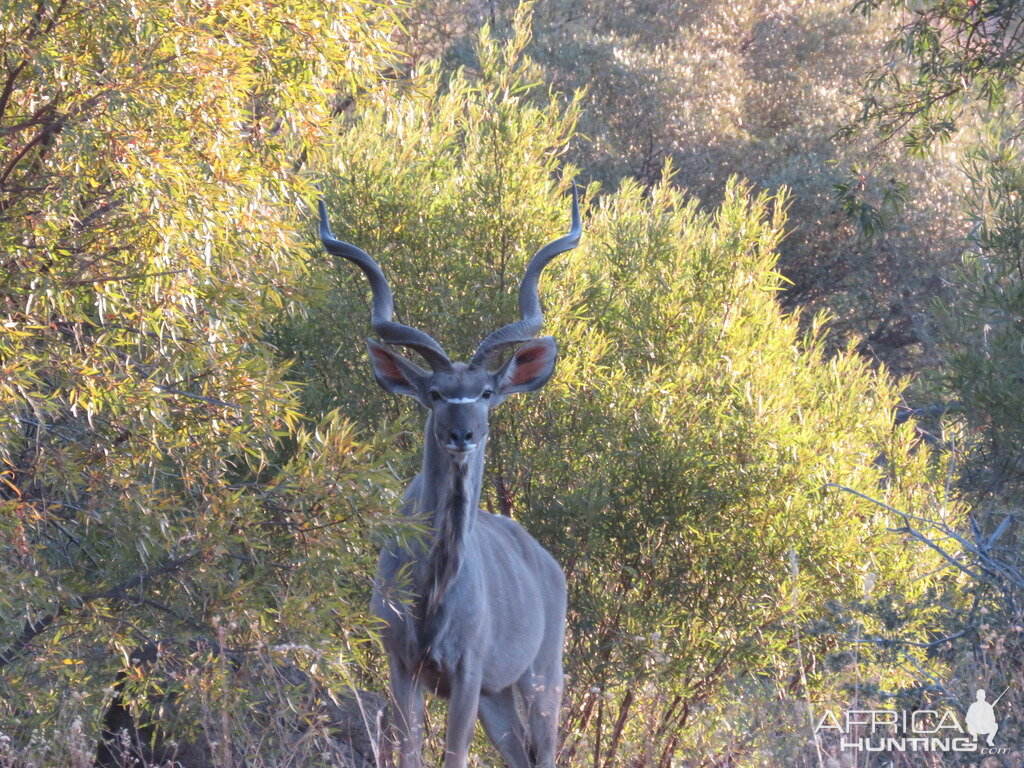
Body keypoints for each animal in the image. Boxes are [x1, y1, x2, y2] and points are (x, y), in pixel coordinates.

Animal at [315, 188, 581, 768]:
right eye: (436, 393)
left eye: (485, 392)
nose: (463, 434)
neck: (433, 587)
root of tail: (550, 566)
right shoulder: (403, 665)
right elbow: (410, 751)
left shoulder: (467, 672)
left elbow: (453, 756)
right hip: (498, 699)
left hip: (540, 678)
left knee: (545, 750)